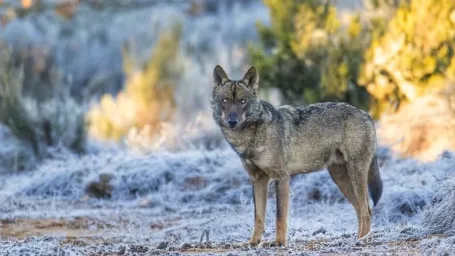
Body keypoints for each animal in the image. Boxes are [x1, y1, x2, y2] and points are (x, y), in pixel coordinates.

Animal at [212, 65, 382, 247]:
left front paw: (279, 243)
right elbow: (258, 217)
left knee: (366, 210)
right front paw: (253, 243)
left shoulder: (281, 177)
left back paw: (362, 240)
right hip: (341, 180)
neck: (251, 137)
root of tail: (366, 114)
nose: (232, 121)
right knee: (362, 210)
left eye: (242, 101)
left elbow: (280, 216)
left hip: (355, 175)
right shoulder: (258, 180)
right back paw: (357, 239)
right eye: (225, 101)